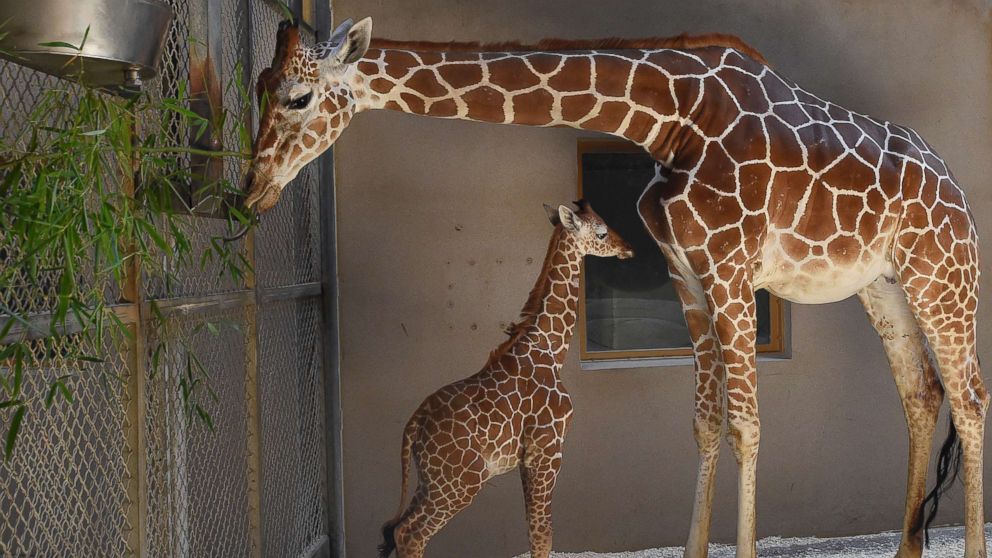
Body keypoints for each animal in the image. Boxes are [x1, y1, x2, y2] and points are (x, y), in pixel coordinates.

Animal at [380, 202, 636, 558]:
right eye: (601, 232)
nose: (628, 248)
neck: (551, 350)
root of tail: (413, 425)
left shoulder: (527, 458)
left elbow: (533, 529)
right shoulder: (547, 448)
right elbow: (543, 533)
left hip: (430, 479)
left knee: (395, 530)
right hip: (462, 480)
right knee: (410, 534)